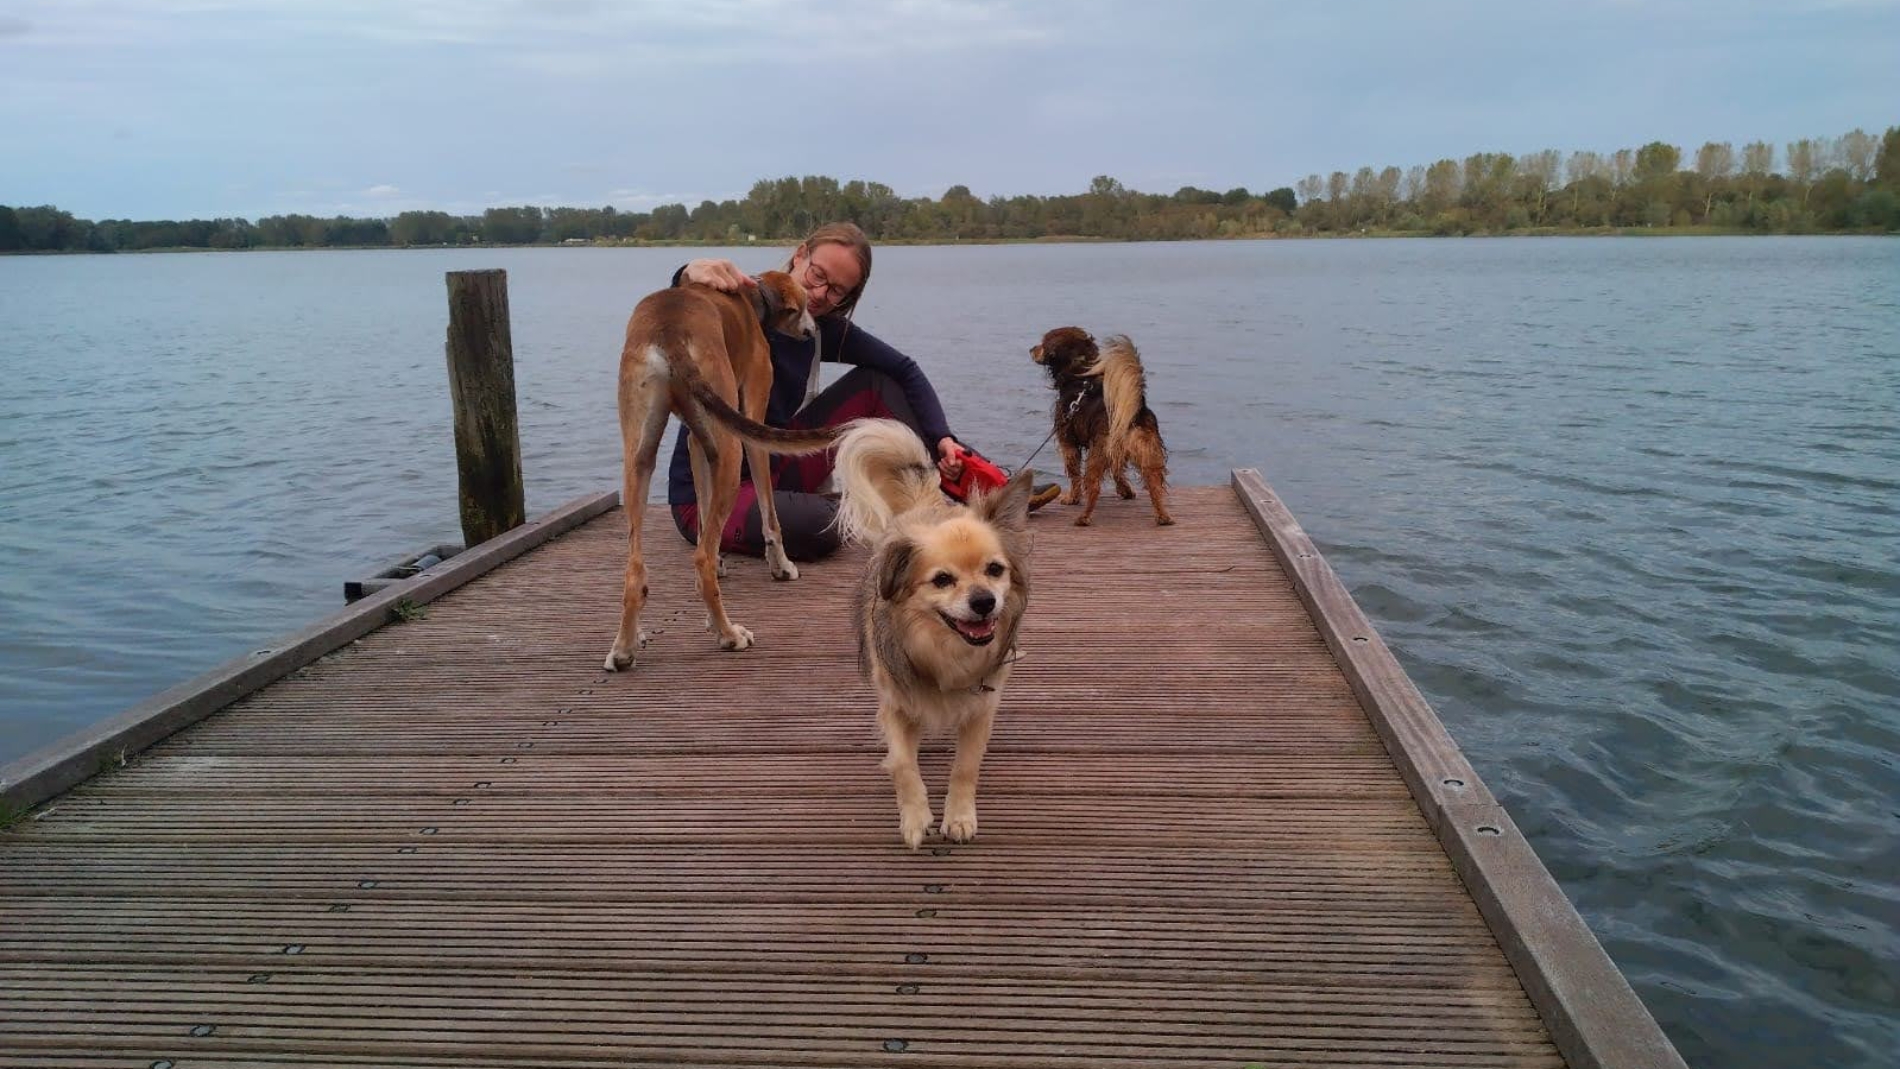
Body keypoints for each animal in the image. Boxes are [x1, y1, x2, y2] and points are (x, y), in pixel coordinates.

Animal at [1026, 326, 1170, 527]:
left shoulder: (1067, 441)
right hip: (1148, 451)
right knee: (1155, 485)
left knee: (1093, 487)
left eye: (1043, 343)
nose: (1031, 349)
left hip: (1098, 453)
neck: (1080, 374)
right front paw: (1125, 491)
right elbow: (1118, 471)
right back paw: (1163, 516)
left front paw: (1072, 498)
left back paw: (1084, 517)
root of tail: (1136, 411)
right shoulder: (1116, 453)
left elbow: (1074, 473)